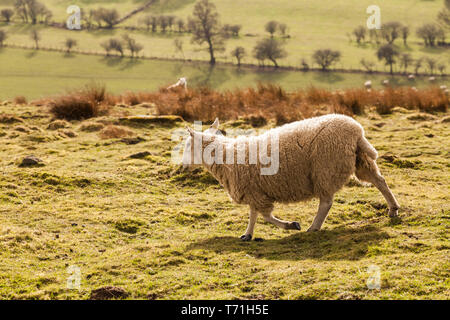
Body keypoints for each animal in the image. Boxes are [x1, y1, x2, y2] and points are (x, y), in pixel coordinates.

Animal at [181, 115, 400, 240]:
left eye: (188, 145)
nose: (182, 166)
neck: (226, 156)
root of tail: (357, 132)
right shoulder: (255, 191)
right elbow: (255, 214)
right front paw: (248, 234)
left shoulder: (254, 191)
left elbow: (264, 216)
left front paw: (290, 225)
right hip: (359, 160)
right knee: (379, 180)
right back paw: (393, 208)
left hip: (325, 168)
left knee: (326, 202)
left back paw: (314, 227)